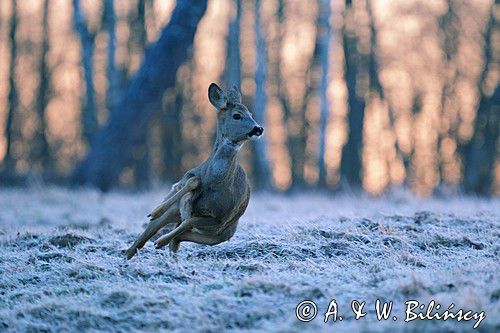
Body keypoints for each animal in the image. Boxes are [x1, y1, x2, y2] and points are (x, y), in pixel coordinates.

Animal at [125, 81, 264, 258]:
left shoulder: (221, 219)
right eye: (237, 115)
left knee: (177, 237)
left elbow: (187, 223)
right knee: (148, 233)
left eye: (251, 114)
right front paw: (157, 216)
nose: (258, 129)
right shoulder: (181, 205)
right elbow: (192, 184)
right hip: (176, 210)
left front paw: (160, 241)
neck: (216, 182)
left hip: (221, 235)